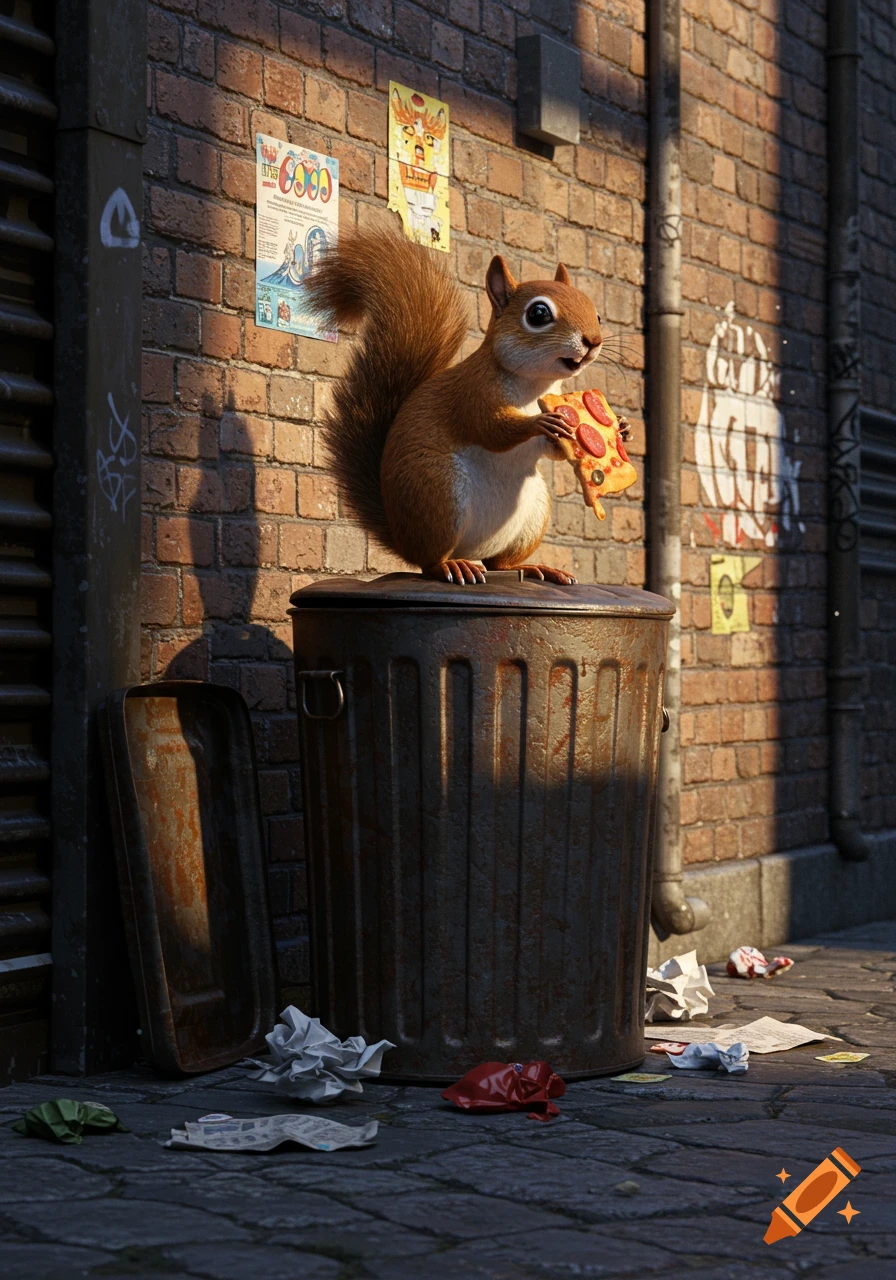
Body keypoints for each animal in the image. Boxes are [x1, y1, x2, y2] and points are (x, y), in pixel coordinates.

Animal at [304, 227, 629, 585]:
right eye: (538, 314)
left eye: (596, 313)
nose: (593, 341)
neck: (535, 385)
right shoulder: (472, 394)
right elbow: (491, 430)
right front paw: (540, 423)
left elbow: (555, 451)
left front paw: (622, 427)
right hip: (437, 494)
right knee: (429, 561)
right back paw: (451, 567)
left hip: (532, 514)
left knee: (500, 563)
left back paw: (535, 568)